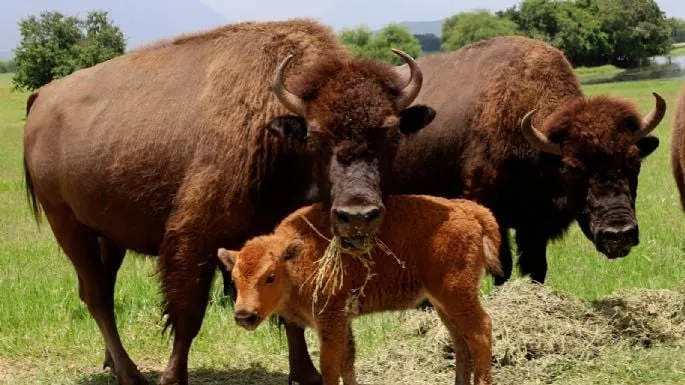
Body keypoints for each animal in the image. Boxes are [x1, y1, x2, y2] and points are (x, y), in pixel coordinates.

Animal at [24, 18, 436, 384]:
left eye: (392, 134)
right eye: (315, 137)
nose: (358, 214)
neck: (274, 132)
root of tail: (43, 95)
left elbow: (288, 310)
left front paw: (307, 374)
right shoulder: (193, 240)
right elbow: (188, 314)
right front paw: (173, 378)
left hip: (106, 235)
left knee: (100, 290)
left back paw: (113, 364)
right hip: (67, 224)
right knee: (96, 294)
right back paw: (131, 375)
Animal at [219, 195, 502, 384]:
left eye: (270, 276)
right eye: (234, 278)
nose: (244, 316)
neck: (295, 258)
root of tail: (470, 210)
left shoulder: (331, 321)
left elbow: (331, 366)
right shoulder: (343, 322)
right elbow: (348, 361)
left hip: (457, 293)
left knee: (480, 332)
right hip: (443, 301)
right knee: (460, 340)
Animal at [390, 35, 664, 282]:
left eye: (635, 162)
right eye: (572, 169)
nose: (619, 233)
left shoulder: (534, 224)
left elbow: (536, 267)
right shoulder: (493, 213)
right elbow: (503, 267)